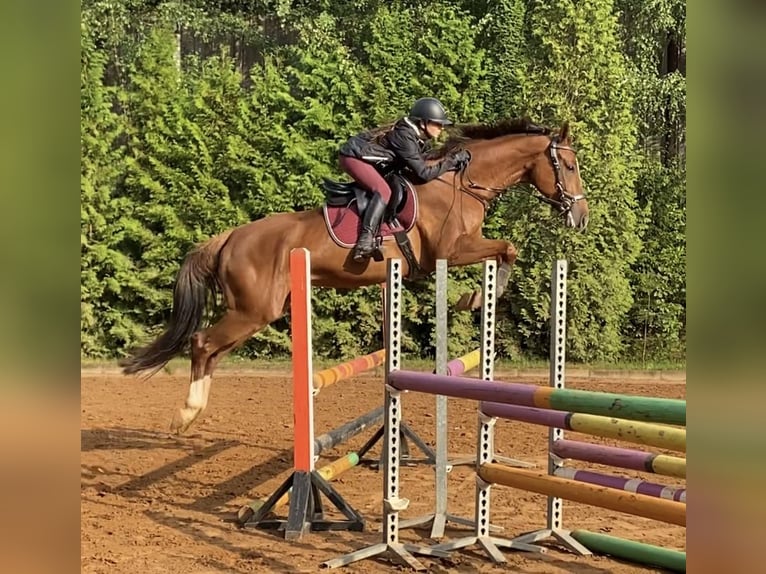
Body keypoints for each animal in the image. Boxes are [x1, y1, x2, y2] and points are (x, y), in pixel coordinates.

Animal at [120, 118, 592, 432]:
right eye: (568, 168)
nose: (581, 217)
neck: (462, 184)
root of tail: (230, 237)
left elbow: (507, 249)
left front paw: (480, 297)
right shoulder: (452, 250)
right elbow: (507, 247)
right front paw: (475, 298)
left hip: (255, 311)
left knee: (213, 351)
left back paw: (193, 413)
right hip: (254, 310)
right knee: (202, 343)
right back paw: (185, 413)